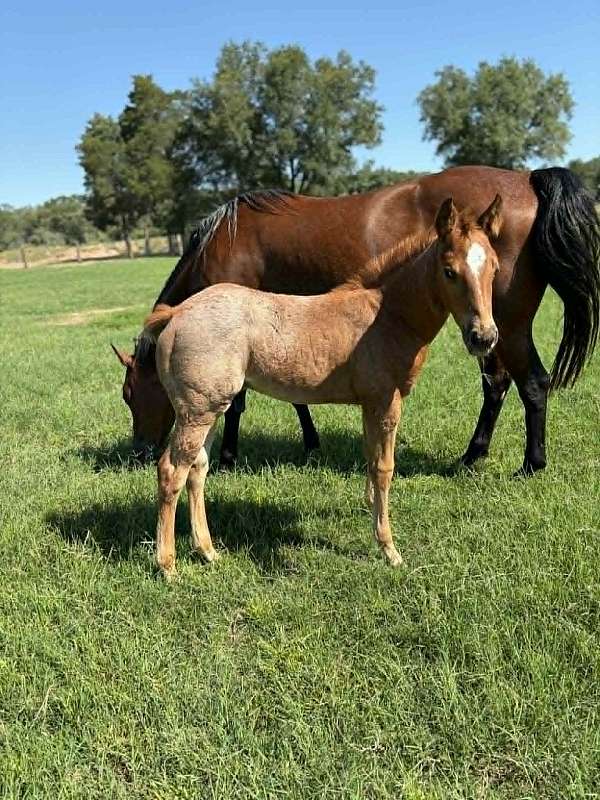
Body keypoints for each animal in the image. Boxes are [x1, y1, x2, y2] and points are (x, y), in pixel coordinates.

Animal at [113, 166, 600, 475]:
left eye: (130, 395)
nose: (137, 454)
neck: (224, 240)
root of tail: (527, 180)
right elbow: (297, 395)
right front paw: (311, 444)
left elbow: (238, 402)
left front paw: (230, 458)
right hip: (487, 329)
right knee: (497, 384)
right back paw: (471, 456)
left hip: (506, 326)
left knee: (533, 383)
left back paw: (531, 465)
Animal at [142, 196, 502, 577]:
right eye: (449, 271)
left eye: (494, 268)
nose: (484, 338)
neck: (387, 315)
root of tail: (176, 313)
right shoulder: (386, 403)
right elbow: (384, 468)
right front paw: (389, 550)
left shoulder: (369, 404)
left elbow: (370, 459)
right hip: (197, 411)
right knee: (171, 471)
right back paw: (167, 565)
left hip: (211, 408)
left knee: (197, 469)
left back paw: (208, 551)